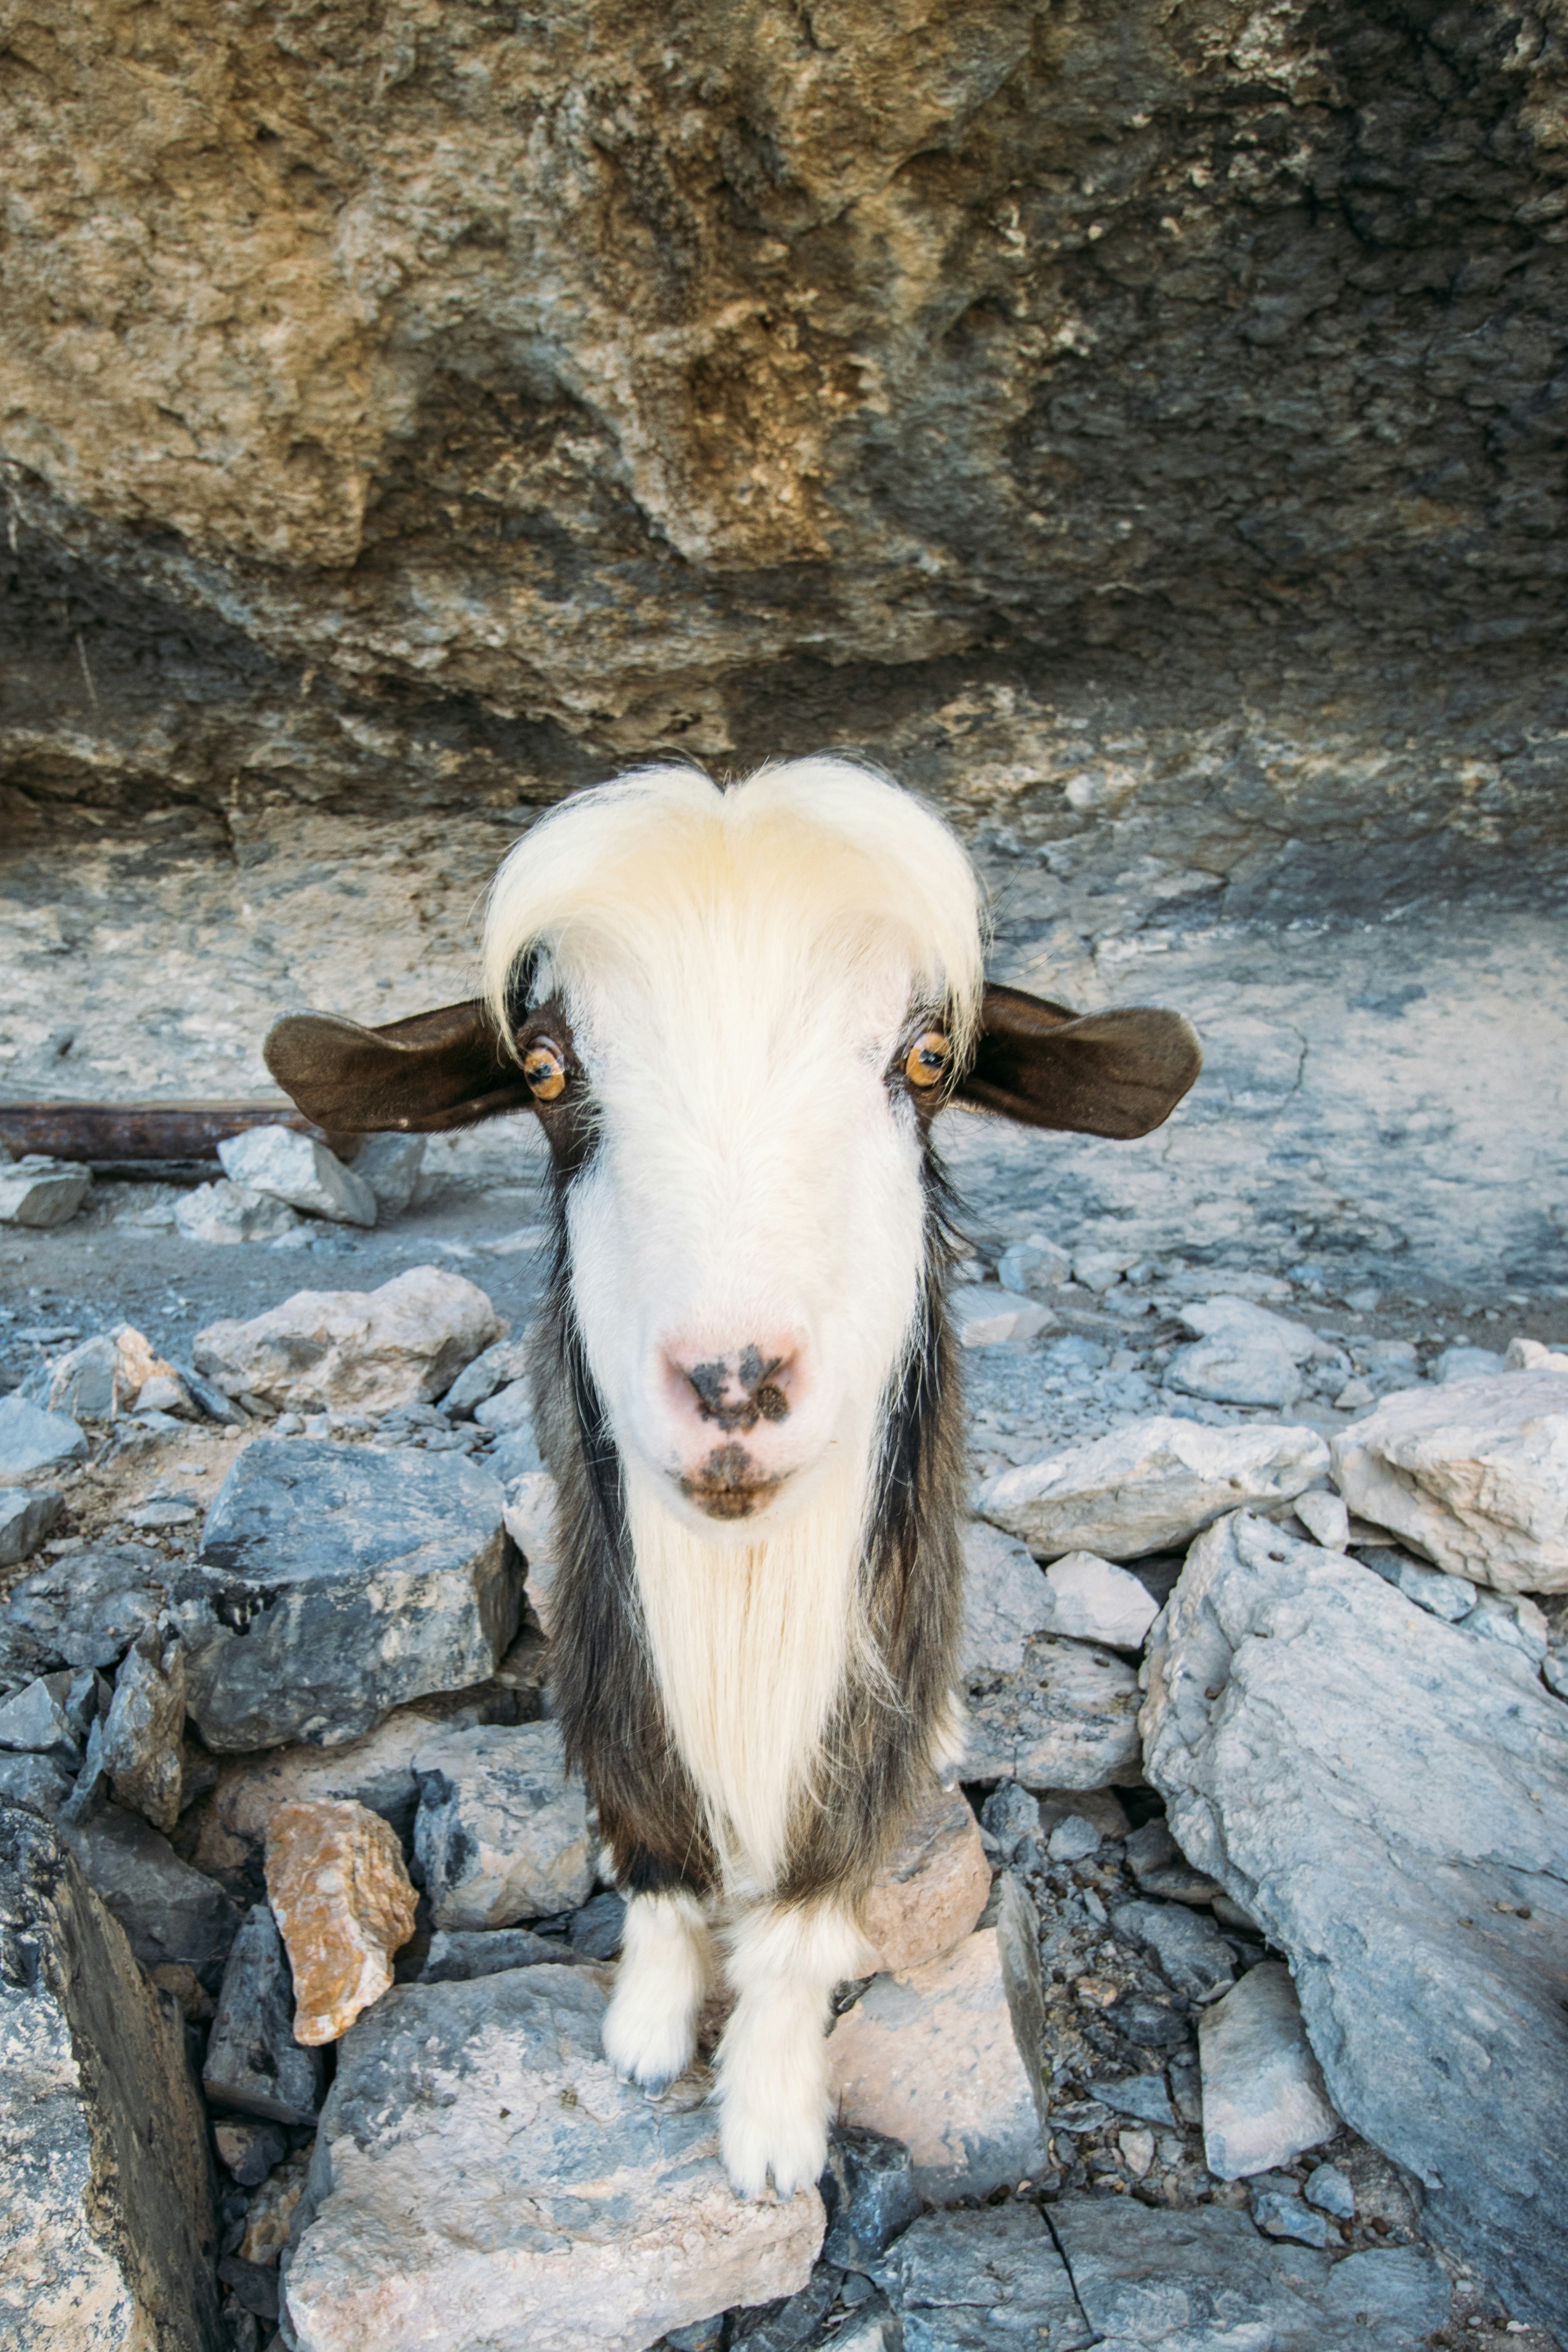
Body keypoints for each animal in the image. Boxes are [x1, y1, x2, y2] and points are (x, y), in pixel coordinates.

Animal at [265, 758, 1199, 2198]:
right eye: (545, 1066)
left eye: (928, 1056)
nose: (733, 1382)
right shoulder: (607, 1627)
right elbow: (654, 1843)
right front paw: (648, 2031)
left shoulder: (876, 1652)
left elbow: (812, 1900)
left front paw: (769, 2122)